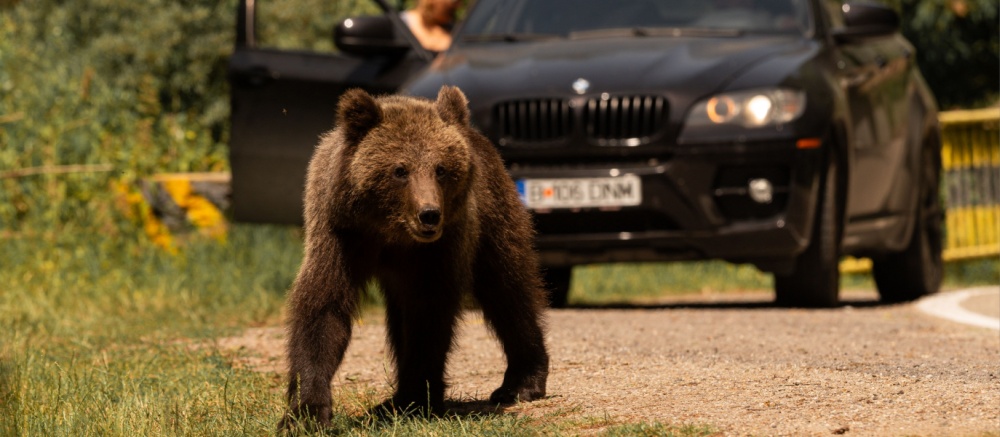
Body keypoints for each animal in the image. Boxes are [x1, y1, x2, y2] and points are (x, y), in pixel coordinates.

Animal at [280, 86, 548, 430]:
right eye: (400, 170)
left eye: (441, 169)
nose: (429, 214)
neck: (391, 232)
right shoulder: (340, 234)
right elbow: (323, 307)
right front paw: (307, 413)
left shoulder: (438, 248)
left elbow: (428, 315)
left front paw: (416, 399)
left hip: (493, 213)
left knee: (508, 289)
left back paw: (521, 382)